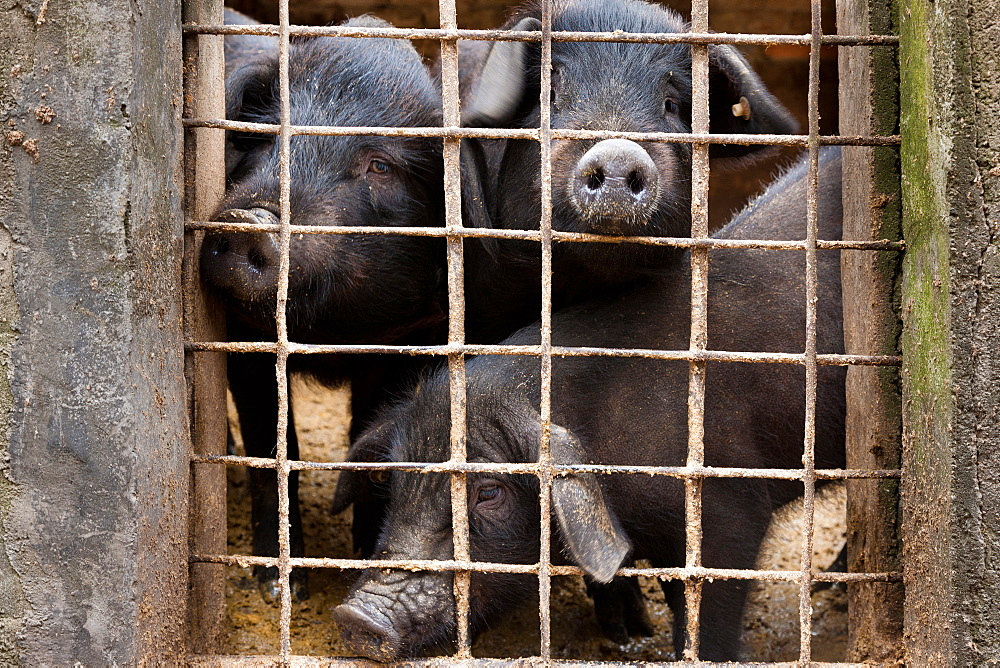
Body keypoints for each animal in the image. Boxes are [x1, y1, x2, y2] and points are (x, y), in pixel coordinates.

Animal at [203, 14, 446, 600]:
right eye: (265, 134)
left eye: (380, 165)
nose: (248, 222)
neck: (331, 330)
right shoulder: (245, 338)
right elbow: (273, 447)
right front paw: (280, 588)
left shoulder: (412, 338)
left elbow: (375, 434)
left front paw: (363, 558)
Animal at [332, 149, 840, 660]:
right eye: (396, 481)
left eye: (489, 492)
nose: (356, 617)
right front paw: (627, 633)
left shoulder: (730, 507)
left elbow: (707, 606)